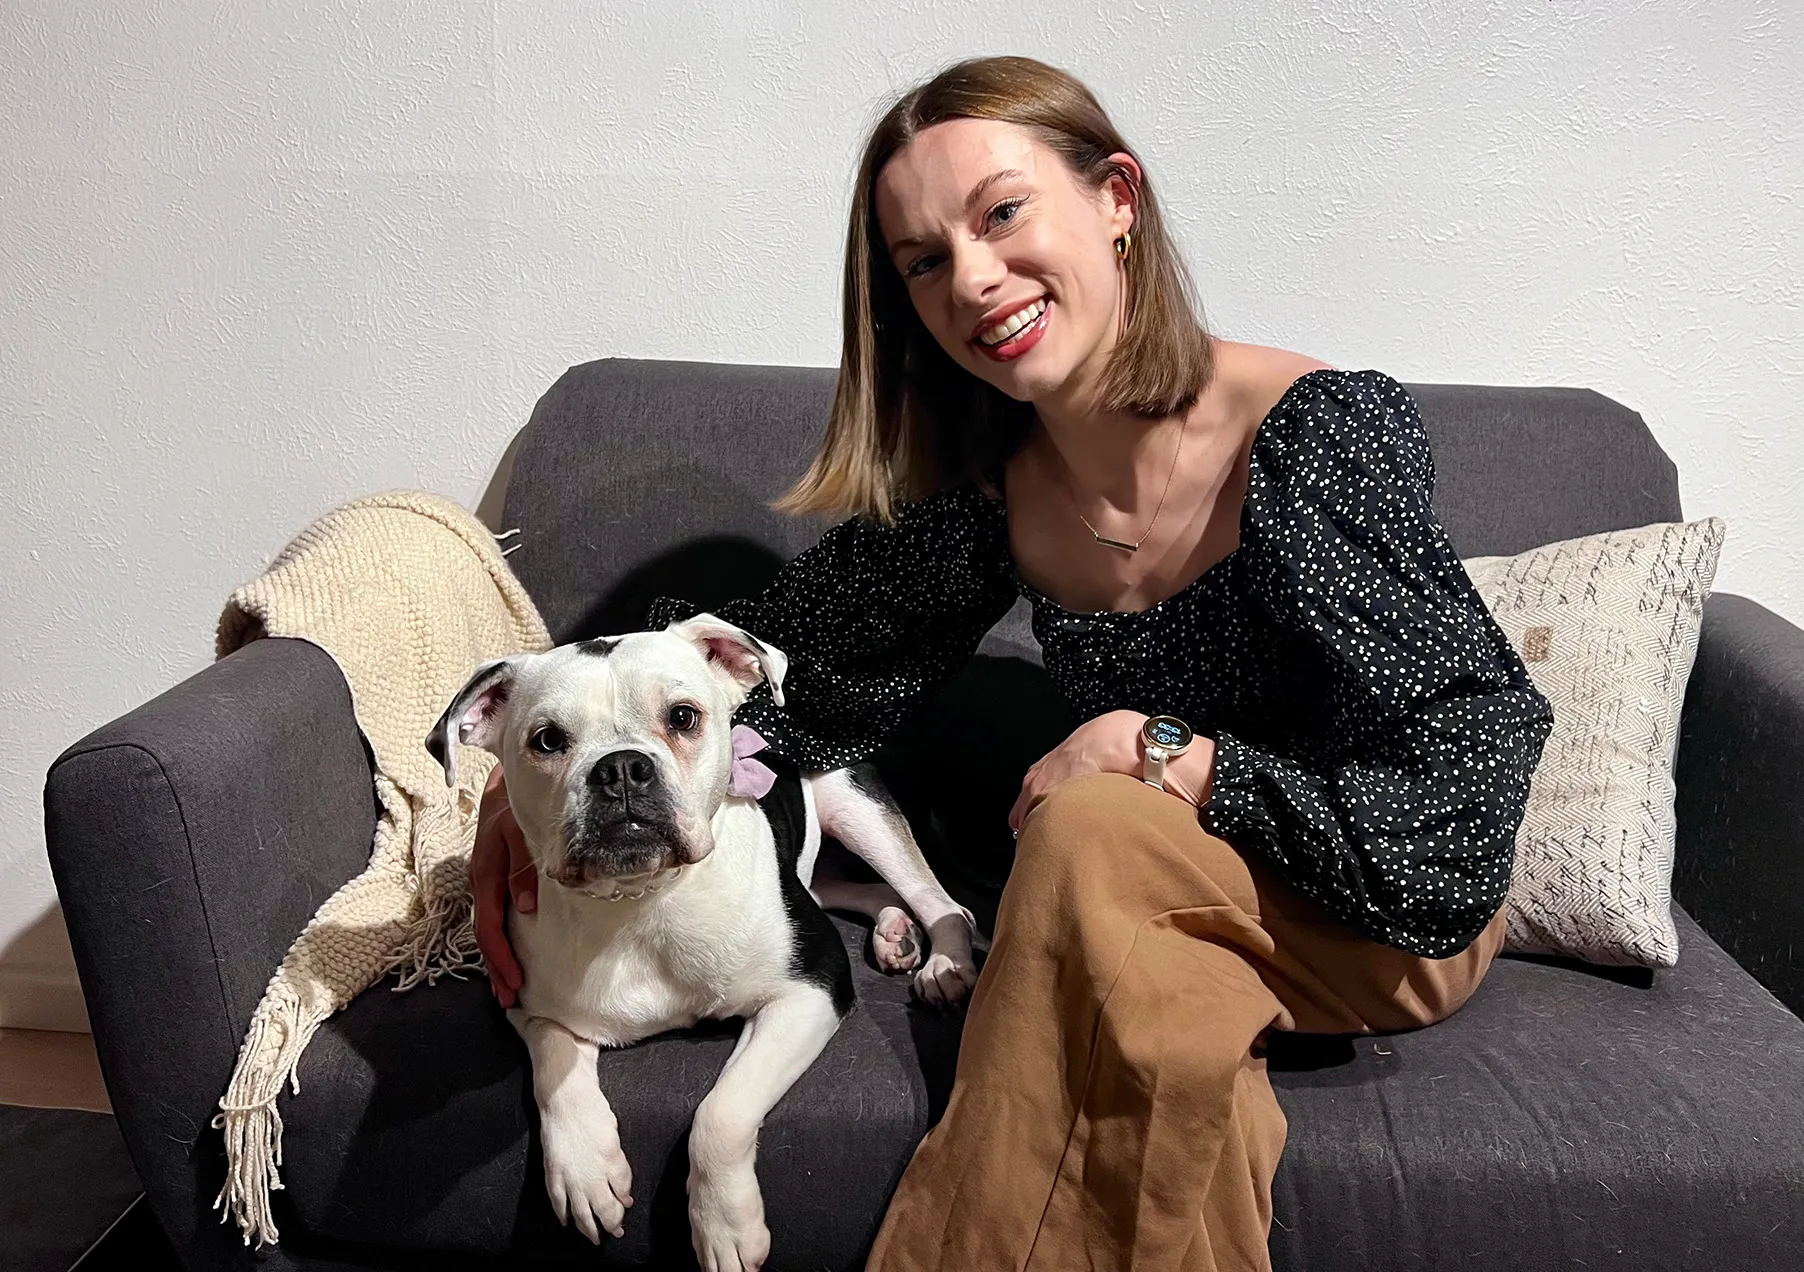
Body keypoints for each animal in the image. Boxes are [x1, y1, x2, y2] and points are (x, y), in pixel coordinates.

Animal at [425, 613, 974, 1270]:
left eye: (683, 716)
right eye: (548, 740)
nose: (620, 768)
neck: (641, 901)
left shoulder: (811, 989)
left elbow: (722, 1110)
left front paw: (724, 1225)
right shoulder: (527, 1004)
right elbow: (555, 1067)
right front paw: (585, 1170)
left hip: (855, 806)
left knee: (939, 901)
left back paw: (945, 963)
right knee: (842, 887)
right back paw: (894, 932)